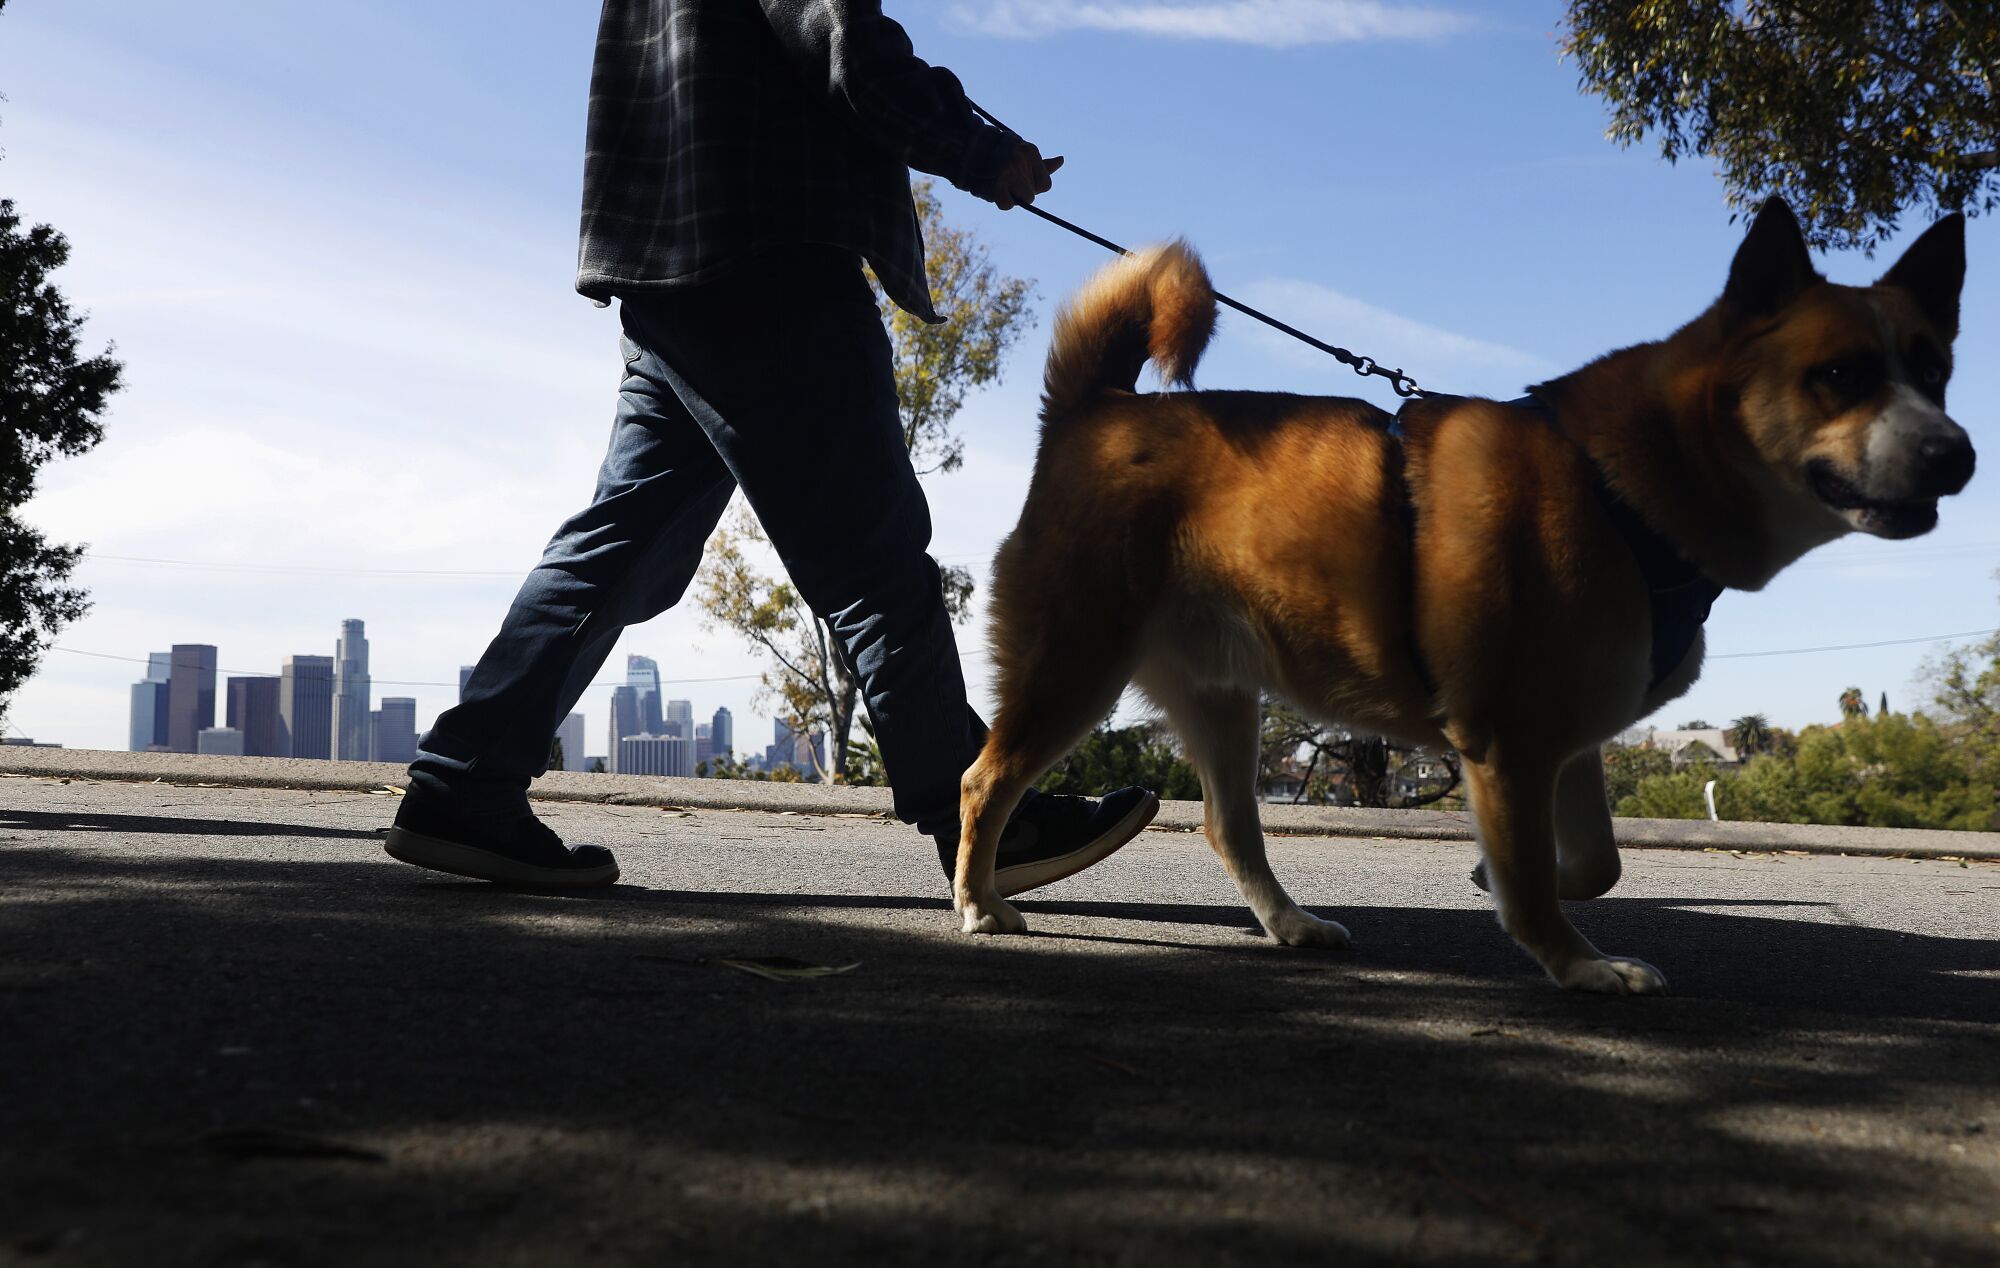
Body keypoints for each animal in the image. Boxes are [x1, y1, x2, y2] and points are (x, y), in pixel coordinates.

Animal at [960, 200, 1976, 988]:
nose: (1957, 454)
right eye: (1840, 374)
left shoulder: (1565, 740)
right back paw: (978, 903)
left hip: (1221, 700)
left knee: (1228, 827)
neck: (1617, 483)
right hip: (1073, 668)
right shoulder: (1514, 742)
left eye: (1933, 370)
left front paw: (1504, 888)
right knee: (983, 781)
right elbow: (1538, 873)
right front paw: (1577, 964)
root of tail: (1098, 410)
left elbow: (1593, 861)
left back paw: (1290, 924)